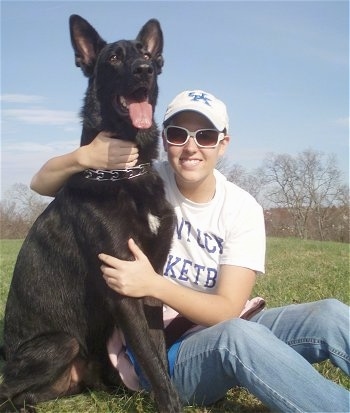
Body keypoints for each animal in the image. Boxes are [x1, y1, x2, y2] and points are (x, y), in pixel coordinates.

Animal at [0, 14, 180, 410]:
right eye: (113, 58)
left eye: (146, 54)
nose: (144, 69)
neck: (125, 174)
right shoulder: (123, 287)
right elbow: (149, 357)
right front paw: (170, 403)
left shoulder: (150, 282)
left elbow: (158, 353)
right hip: (61, 343)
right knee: (4, 391)